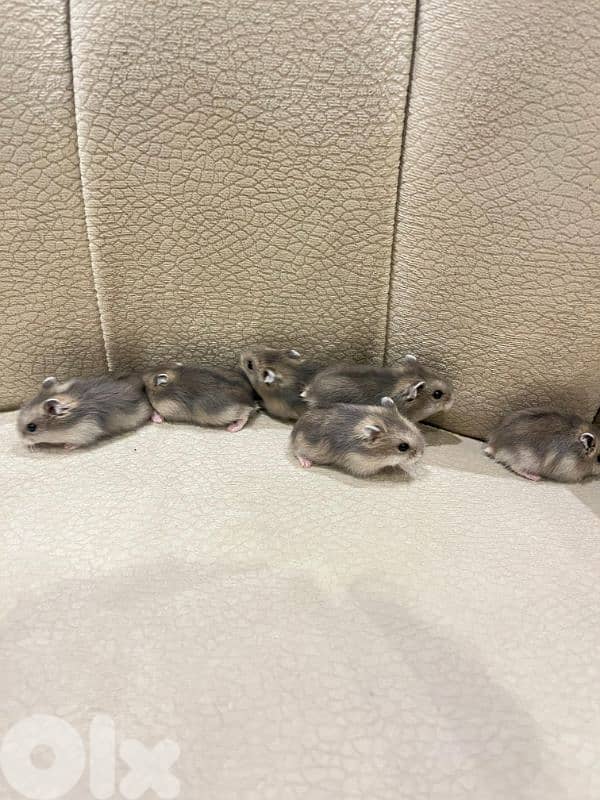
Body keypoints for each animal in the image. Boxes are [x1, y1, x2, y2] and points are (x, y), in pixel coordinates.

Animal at [291, 397, 425, 477]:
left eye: (415, 429)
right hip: (302, 445)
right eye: (403, 447)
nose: (421, 454)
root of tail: (293, 432)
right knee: (297, 452)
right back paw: (306, 463)